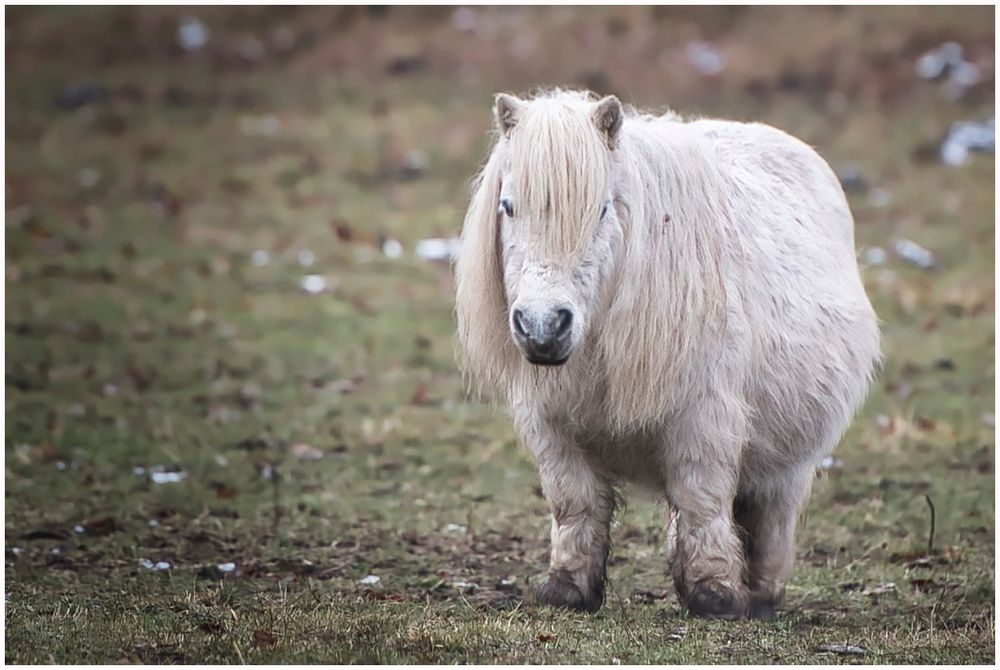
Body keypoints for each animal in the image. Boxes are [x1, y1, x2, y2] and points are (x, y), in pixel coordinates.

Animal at [458, 89, 880, 620]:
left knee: (769, 515)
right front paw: (568, 588)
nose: (542, 326)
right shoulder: (552, 425)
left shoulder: (704, 418)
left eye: (601, 209)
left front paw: (714, 594)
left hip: (791, 457)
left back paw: (760, 595)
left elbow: (701, 500)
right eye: (508, 206)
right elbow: (574, 504)